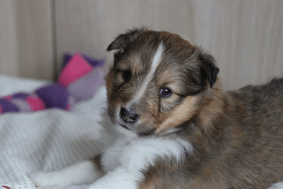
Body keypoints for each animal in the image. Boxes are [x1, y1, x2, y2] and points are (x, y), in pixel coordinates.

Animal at [28, 28, 283, 189]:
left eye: (166, 91)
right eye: (125, 74)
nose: (127, 114)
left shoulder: (138, 175)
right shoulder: (111, 157)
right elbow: (80, 166)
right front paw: (42, 177)